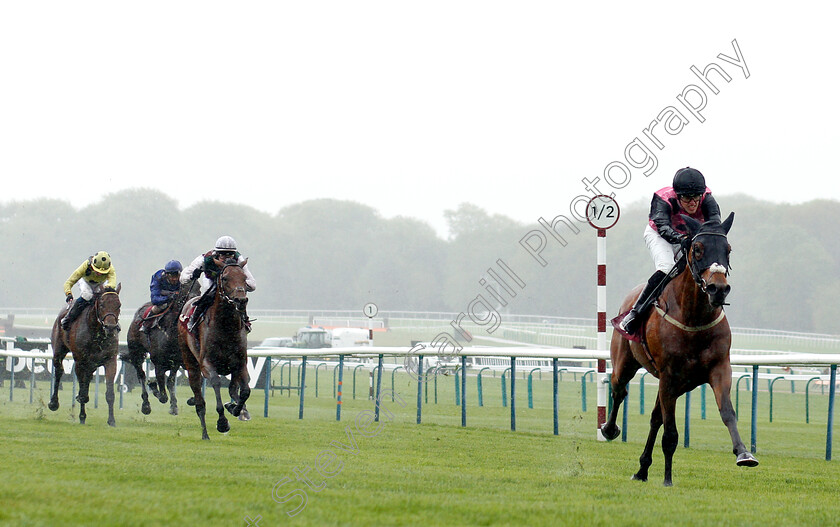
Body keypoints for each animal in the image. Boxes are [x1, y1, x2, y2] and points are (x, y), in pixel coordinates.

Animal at [49, 284, 123, 424]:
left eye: (119, 305)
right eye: (102, 305)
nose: (110, 327)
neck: (96, 333)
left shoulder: (110, 360)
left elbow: (109, 393)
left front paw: (111, 420)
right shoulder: (80, 361)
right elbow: (83, 392)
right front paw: (82, 416)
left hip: (91, 365)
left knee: (87, 378)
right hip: (59, 350)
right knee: (59, 371)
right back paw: (53, 403)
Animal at [122, 280, 198, 416]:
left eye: (199, 287)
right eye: (186, 290)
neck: (172, 333)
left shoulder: (176, 362)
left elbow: (172, 382)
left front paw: (178, 404)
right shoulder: (158, 364)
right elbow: (163, 396)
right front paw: (153, 385)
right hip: (136, 352)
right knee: (141, 375)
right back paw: (146, 405)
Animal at [178, 258, 251, 440]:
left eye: (244, 278)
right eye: (224, 278)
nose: (241, 300)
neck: (225, 327)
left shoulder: (240, 363)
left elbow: (245, 391)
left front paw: (235, 408)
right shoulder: (206, 364)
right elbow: (216, 383)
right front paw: (222, 423)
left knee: (233, 388)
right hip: (190, 362)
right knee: (199, 402)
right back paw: (205, 433)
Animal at [600, 213, 756, 486]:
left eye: (728, 249)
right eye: (697, 248)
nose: (718, 289)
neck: (693, 317)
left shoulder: (718, 369)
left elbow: (727, 412)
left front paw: (743, 453)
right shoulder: (670, 375)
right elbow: (671, 433)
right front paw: (668, 479)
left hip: (681, 383)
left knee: (655, 418)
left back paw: (642, 469)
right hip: (627, 363)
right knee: (619, 390)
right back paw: (609, 430)